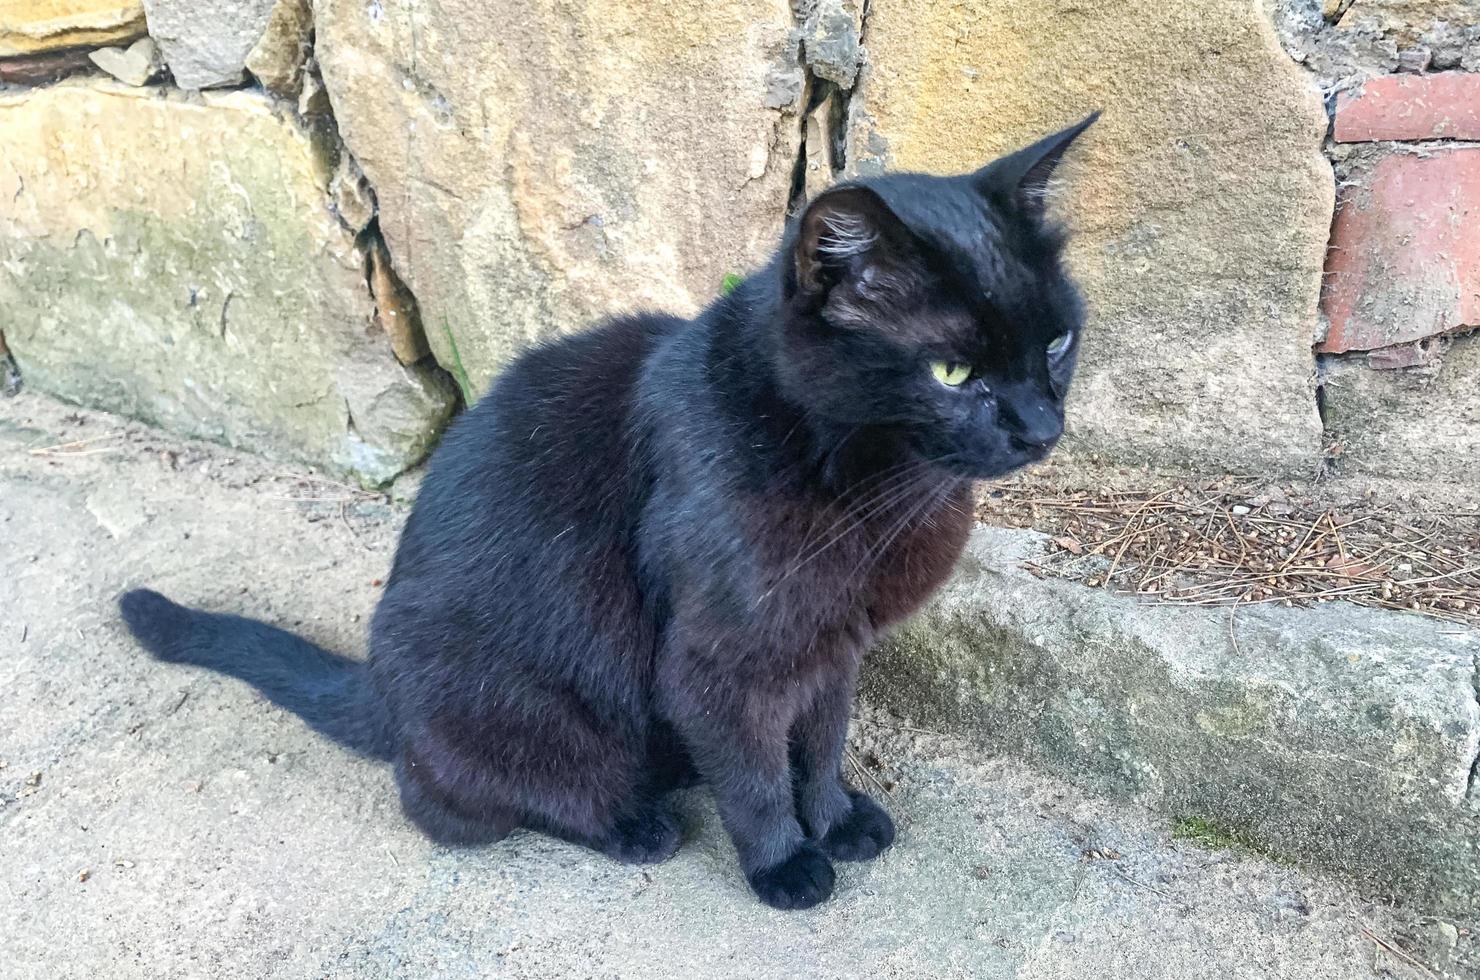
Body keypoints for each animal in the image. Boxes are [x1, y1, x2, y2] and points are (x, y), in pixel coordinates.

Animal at [121, 115, 1101, 911]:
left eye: (1056, 341)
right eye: (952, 374)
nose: (1041, 426)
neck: (868, 486)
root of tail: (381, 689)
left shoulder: (831, 646)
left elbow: (821, 747)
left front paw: (834, 820)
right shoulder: (718, 662)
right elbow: (755, 777)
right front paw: (785, 864)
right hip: (500, 718)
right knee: (457, 805)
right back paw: (635, 824)